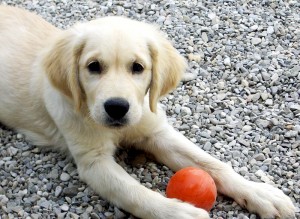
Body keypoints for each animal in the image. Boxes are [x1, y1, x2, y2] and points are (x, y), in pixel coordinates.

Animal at [0, 5, 296, 219]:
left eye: (138, 67)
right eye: (93, 66)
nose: (116, 107)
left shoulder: (157, 132)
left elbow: (213, 163)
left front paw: (261, 194)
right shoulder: (93, 162)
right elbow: (136, 193)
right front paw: (180, 212)